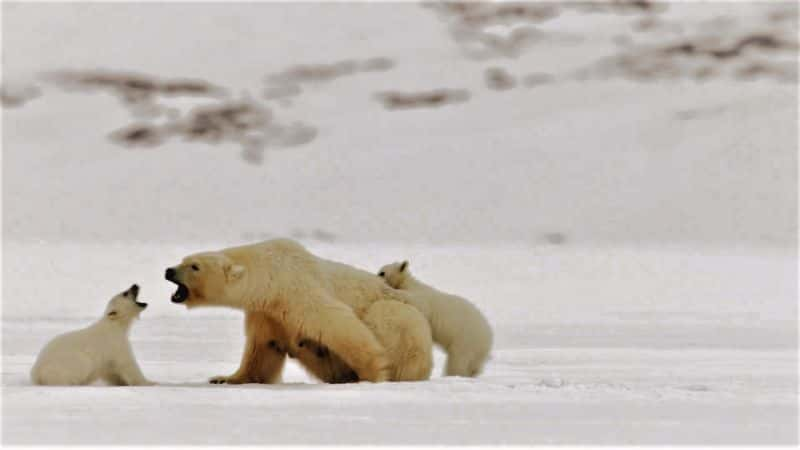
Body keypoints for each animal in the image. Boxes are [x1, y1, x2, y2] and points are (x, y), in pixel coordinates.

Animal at [165, 239, 434, 384]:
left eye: (194, 266)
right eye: (183, 259)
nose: (169, 270)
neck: (272, 276)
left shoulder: (298, 290)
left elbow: (339, 325)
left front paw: (372, 374)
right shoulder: (266, 312)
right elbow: (263, 348)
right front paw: (225, 378)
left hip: (401, 317)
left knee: (386, 317)